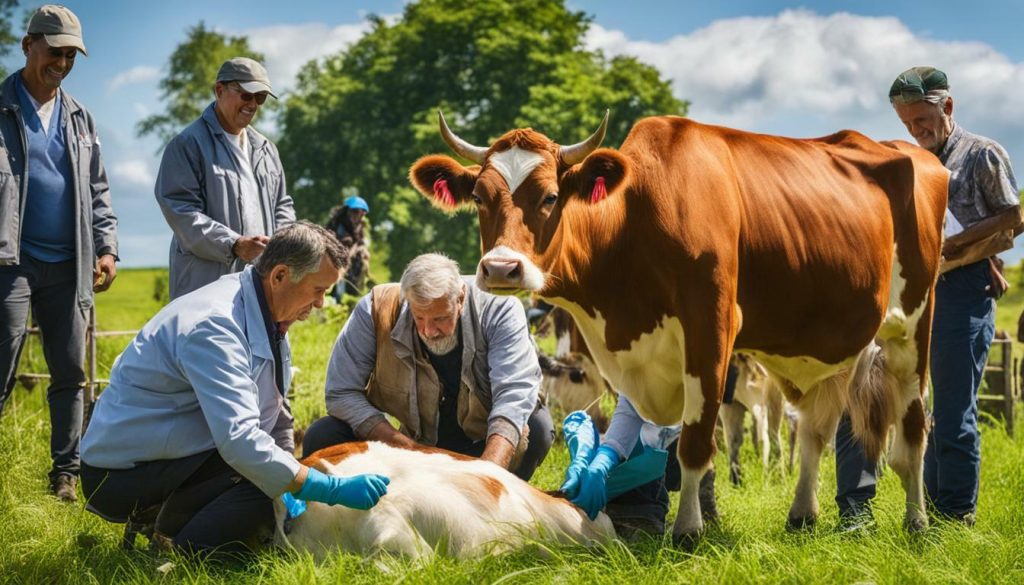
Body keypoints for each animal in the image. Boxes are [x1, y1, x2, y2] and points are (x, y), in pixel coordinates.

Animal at [407, 113, 942, 545]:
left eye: (551, 196)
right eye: (479, 197)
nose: (501, 269)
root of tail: (912, 152)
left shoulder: (712, 330)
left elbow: (695, 444)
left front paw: (687, 530)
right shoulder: (638, 361)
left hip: (913, 328)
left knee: (913, 428)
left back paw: (917, 521)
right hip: (828, 347)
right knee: (815, 430)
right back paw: (802, 515)